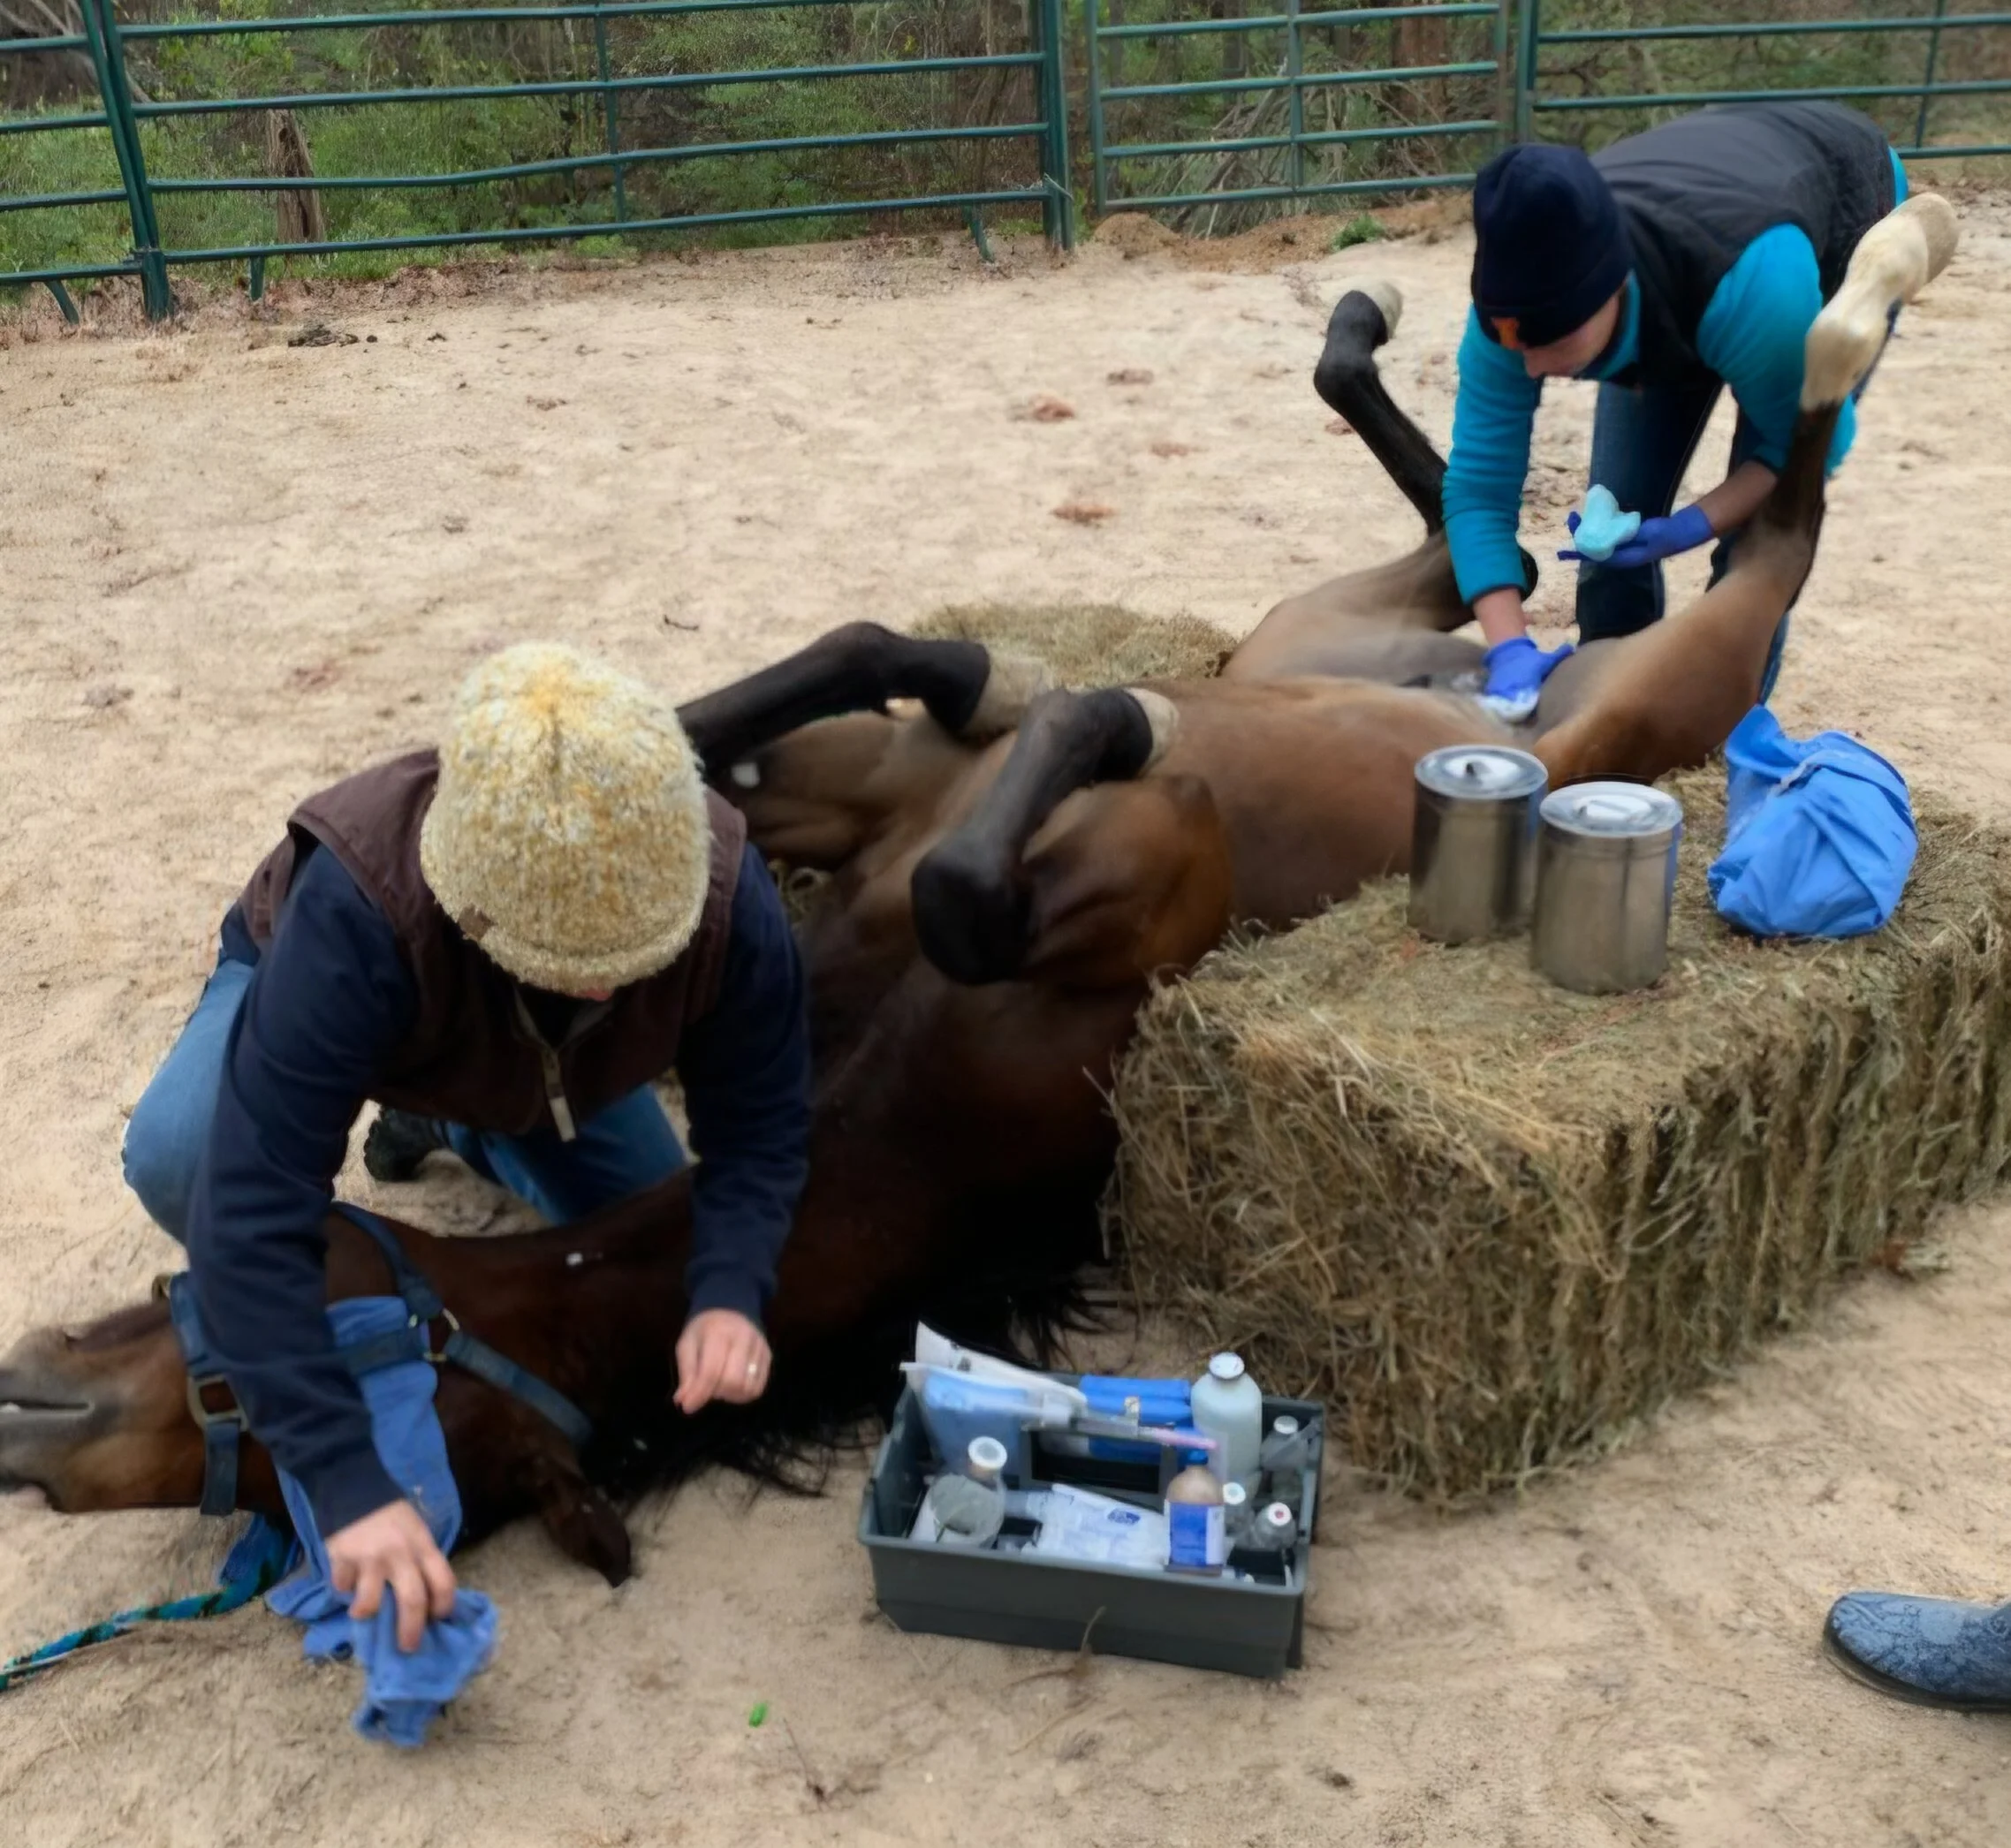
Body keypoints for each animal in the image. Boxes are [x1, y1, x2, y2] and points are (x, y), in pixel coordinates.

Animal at [0, 195, 1955, 1583]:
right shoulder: (859, 823)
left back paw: (1862, 282)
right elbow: (790, 728)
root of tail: (1515, 699)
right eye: (249, 1459)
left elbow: (926, 789)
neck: (889, 1118)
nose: (25, 1417)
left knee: (1770, 508)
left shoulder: (1138, 868)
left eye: (256, 1397)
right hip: (1329, 630)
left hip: (1659, 686)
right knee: (1489, 544)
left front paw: (1061, 692)